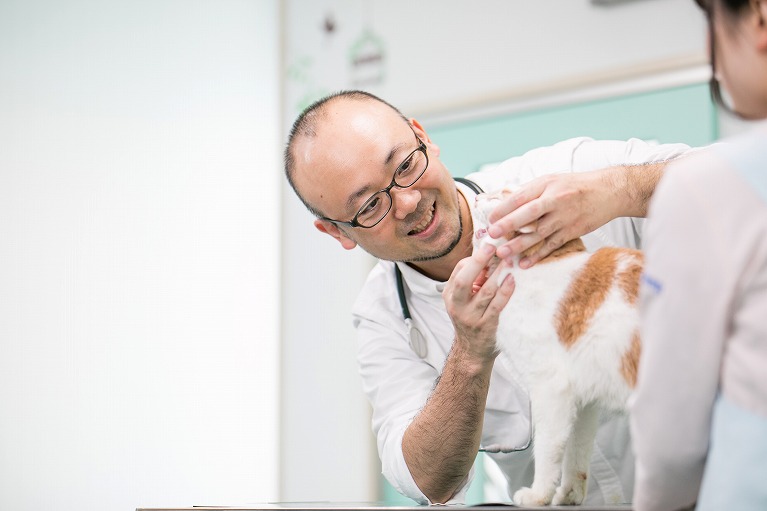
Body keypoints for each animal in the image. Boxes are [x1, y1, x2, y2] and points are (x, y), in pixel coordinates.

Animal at [474, 191, 640, 508]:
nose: (477, 197)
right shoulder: (585, 403)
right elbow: (576, 452)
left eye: (499, 195)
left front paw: (538, 495)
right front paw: (569, 494)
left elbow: (548, 448)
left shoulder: (550, 388)